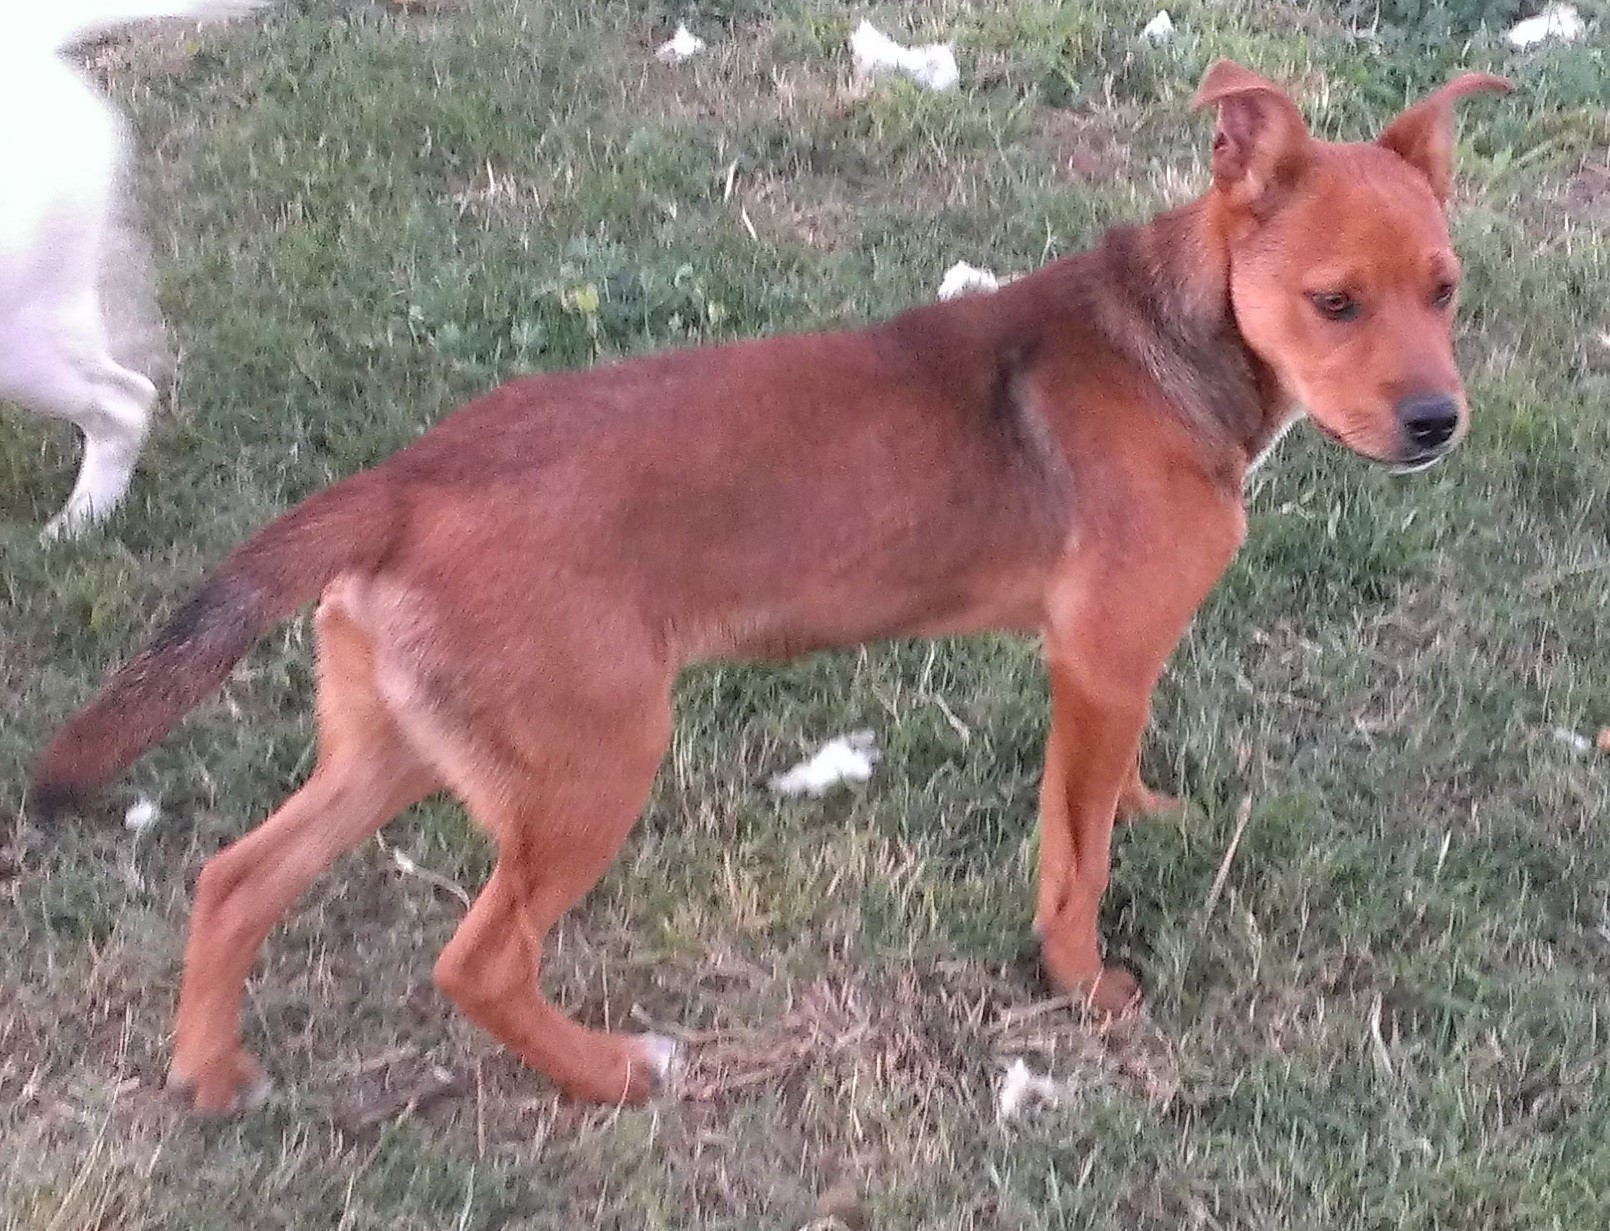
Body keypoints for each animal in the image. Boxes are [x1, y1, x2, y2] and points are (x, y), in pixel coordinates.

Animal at [29, 62, 1508, 1112]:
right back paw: (612, 1074)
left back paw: (210, 1069)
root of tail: (403, 480)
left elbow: (1104, 794)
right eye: (1332, 303)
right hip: (589, 765)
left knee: (233, 878)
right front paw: (1083, 982)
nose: (1438, 424)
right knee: (476, 960)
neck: (1173, 341)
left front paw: (1145, 807)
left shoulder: (1107, 667)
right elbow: (1072, 858)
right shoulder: (1092, 659)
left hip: (396, 744)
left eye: (1444, 290)